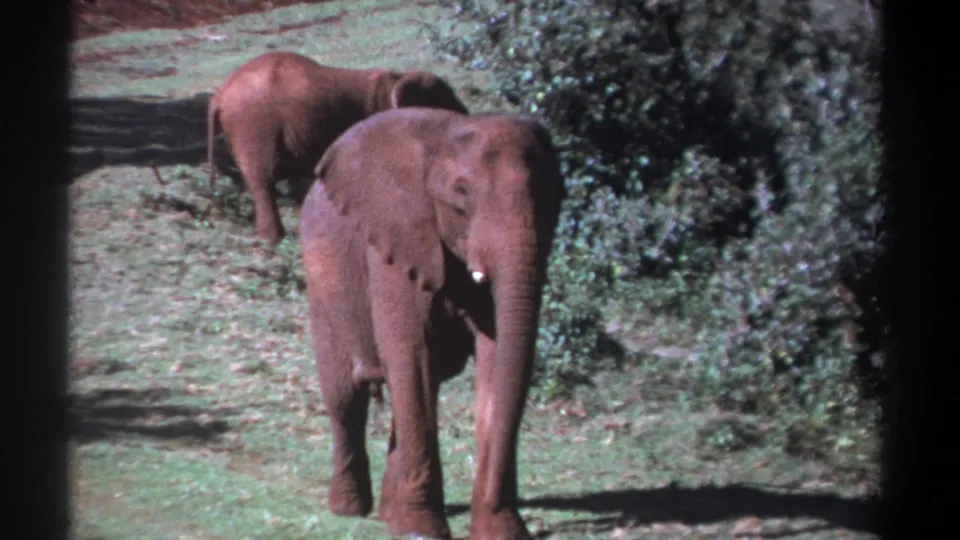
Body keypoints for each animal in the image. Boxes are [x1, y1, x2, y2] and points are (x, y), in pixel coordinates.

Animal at [206, 51, 470, 245]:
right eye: (444, 104)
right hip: (253, 126)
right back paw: (273, 240)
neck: (397, 78)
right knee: (263, 182)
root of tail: (219, 95)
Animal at [300, 107, 566, 539]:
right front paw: (421, 530)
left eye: (557, 196)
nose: (496, 504)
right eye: (461, 192)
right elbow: (411, 355)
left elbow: (494, 358)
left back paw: (388, 514)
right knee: (346, 395)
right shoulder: (396, 244)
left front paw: (501, 531)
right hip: (322, 277)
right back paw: (350, 510)